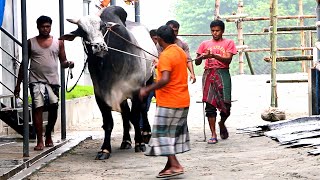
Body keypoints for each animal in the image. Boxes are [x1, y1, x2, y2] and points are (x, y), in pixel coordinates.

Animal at [60, 4, 158, 160]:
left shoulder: (136, 90)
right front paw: (105, 149)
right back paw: (125, 141)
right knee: (125, 114)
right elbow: (108, 123)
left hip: (148, 81)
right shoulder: (100, 95)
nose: (99, 46)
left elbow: (135, 116)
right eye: (82, 31)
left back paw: (146, 134)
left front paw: (139, 143)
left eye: (102, 26)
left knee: (142, 109)